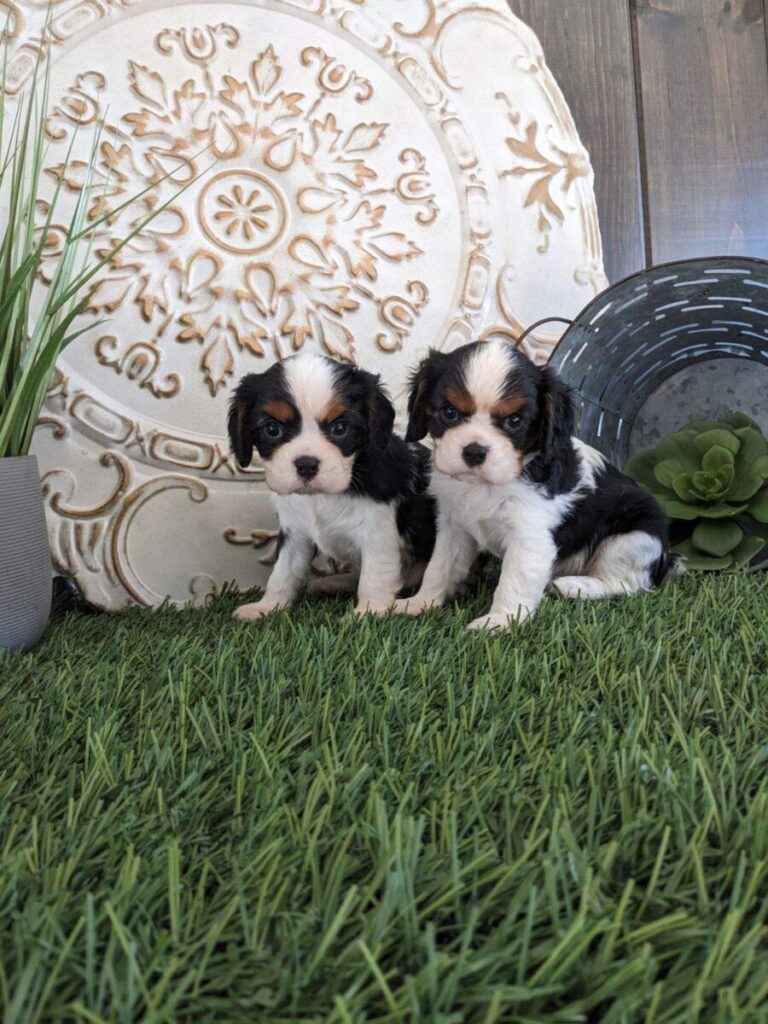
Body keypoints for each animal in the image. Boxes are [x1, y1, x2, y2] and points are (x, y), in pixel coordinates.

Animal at [225, 352, 436, 618]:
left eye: (340, 428)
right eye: (272, 429)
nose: (306, 464)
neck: (320, 496)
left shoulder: (378, 533)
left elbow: (373, 577)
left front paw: (366, 614)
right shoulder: (294, 533)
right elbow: (282, 573)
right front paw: (268, 607)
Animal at [397, 342, 671, 630]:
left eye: (515, 421)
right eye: (449, 412)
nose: (474, 451)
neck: (486, 485)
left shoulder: (530, 535)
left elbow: (514, 580)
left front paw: (499, 621)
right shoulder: (454, 525)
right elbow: (439, 567)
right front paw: (421, 603)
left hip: (634, 537)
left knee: (626, 583)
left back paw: (574, 586)